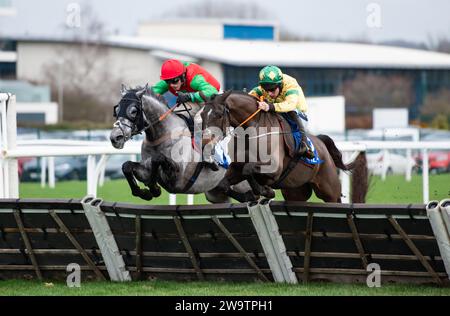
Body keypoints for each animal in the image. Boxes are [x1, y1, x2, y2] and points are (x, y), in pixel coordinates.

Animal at [107, 84, 251, 202]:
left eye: (133, 111)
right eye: (117, 110)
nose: (115, 137)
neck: (160, 136)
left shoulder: (178, 176)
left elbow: (157, 159)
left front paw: (154, 188)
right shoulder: (145, 169)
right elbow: (127, 166)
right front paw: (144, 192)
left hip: (241, 185)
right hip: (216, 195)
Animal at [202, 90, 368, 204]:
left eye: (218, 114)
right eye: (202, 115)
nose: (205, 140)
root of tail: (321, 144)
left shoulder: (273, 168)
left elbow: (249, 170)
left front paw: (265, 191)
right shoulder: (237, 168)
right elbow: (224, 183)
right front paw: (250, 195)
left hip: (329, 189)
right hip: (295, 192)